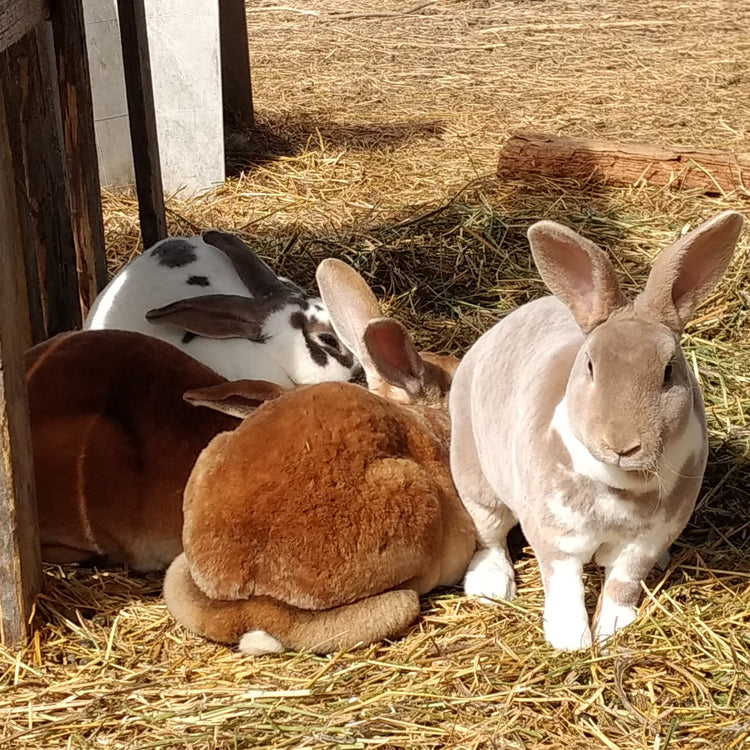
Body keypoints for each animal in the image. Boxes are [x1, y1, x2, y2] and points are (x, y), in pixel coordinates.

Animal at [448, 210, 744, 651]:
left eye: (669, 371)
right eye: (589, 365)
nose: (622, 445)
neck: (623, 484)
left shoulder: (647, 540)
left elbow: (624, 583)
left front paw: (614, 632)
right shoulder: (556, 538)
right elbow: (564, 588)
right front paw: (571, 642)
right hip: (475, 479)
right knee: (489, 534)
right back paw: (489, 587)